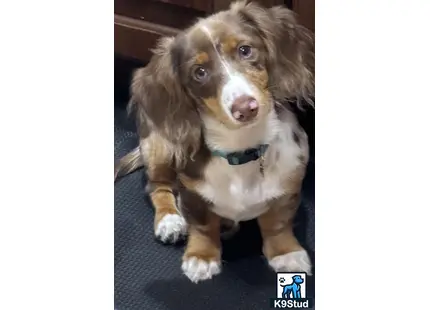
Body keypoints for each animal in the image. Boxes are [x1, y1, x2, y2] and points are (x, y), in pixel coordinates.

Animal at [116, 0, 314, 282]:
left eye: (245, 50)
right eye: (200, 72)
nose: (245, 108)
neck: (242, 147)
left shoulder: (289, 187)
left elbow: (278, 223)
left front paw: (286, 254)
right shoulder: (192, 193)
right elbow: (203, 225)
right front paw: (201, 257)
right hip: (160, 147)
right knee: (158, 187)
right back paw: (170, 220)